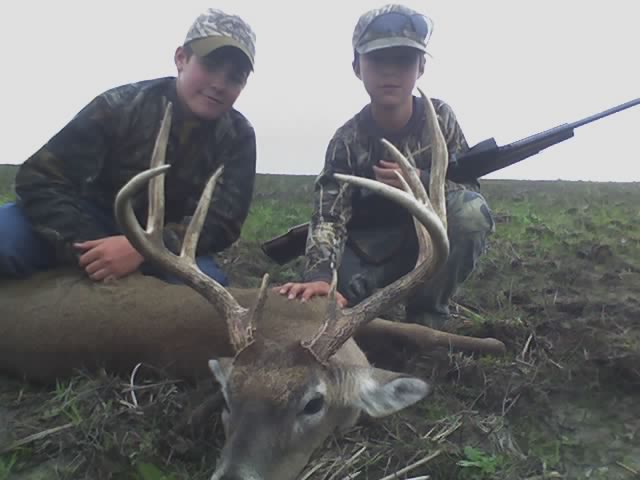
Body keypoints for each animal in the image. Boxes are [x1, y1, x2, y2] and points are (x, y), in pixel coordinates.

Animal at [0, 90, 506, 480]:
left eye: (313, 404)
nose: (232, 476)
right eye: (228, 397)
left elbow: (419, 329)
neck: (296, 328)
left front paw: (494, 341)